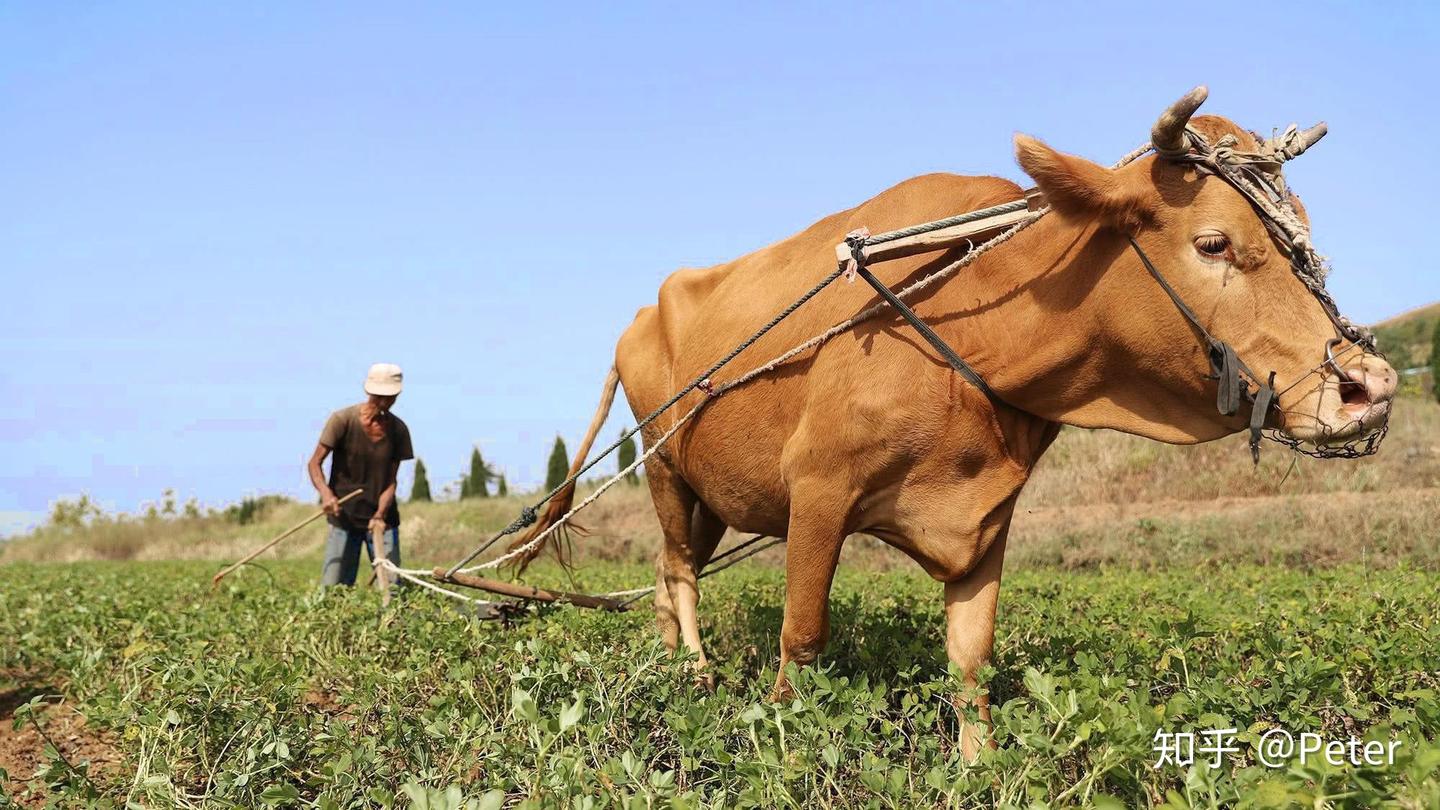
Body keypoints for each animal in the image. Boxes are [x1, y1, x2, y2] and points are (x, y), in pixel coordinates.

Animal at [518, 88, 1396, 756]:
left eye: (1302, 239)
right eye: (1214, 242)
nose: (1369, 385)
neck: (972, 324)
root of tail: (643, 312)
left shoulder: (990, 511)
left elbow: (971, 657)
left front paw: (977, 765)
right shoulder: (819, 490)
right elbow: (802, 637)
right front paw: (781, 741)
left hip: (705, 497)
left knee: (668, 577)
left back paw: (668, 659)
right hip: (664, 465)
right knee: (677, 573)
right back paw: (692, 676)